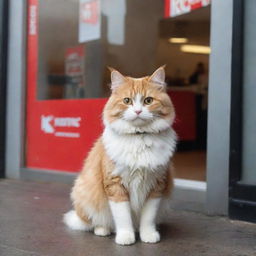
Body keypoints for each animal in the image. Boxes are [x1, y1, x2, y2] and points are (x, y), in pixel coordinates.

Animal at [63, 66, 177, 246]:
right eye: (127, 101)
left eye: (148, 101)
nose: (138, 111)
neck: (139, 138)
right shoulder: (115, 185)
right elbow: (123, 217)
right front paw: (125, 237)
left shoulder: (156, 185)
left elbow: (148, 218)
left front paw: (148, 235)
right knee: (97, 222)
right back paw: (103, 230)